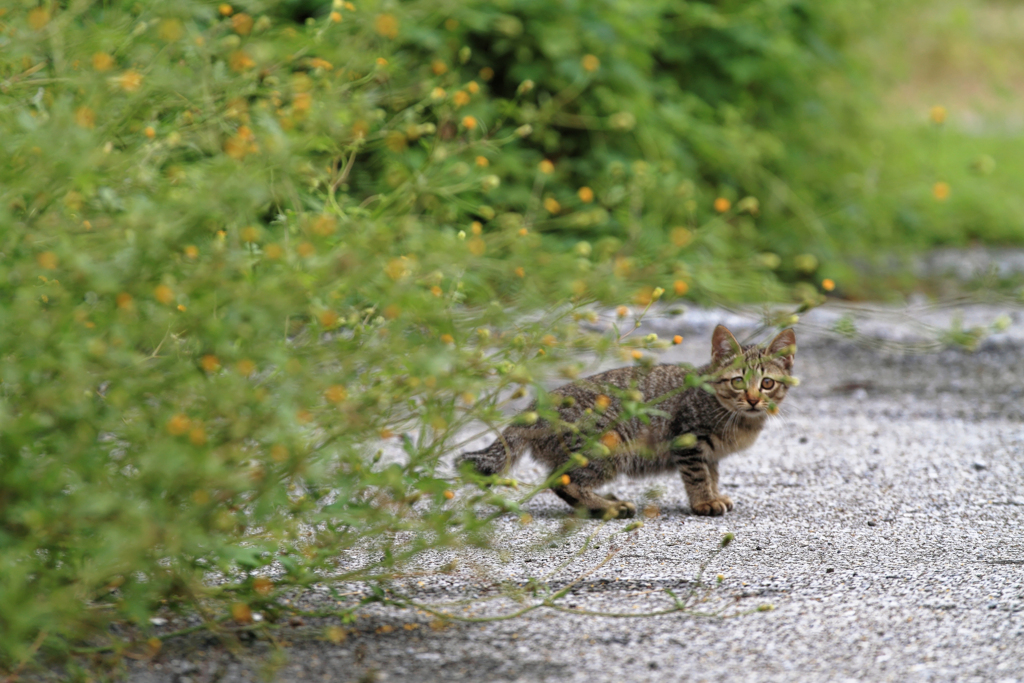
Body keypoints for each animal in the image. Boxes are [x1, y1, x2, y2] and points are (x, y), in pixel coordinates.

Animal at [458, 325, 798, 518]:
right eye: (738, 382)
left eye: (767, 383)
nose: (753, 399)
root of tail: (536, 407)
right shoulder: (688, 439)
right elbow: (698, 476)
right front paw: (704, 502)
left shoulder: (709, 452)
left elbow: (712, 474)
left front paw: (714, 496)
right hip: (607, 446)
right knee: (562, 481)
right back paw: (608, 507)